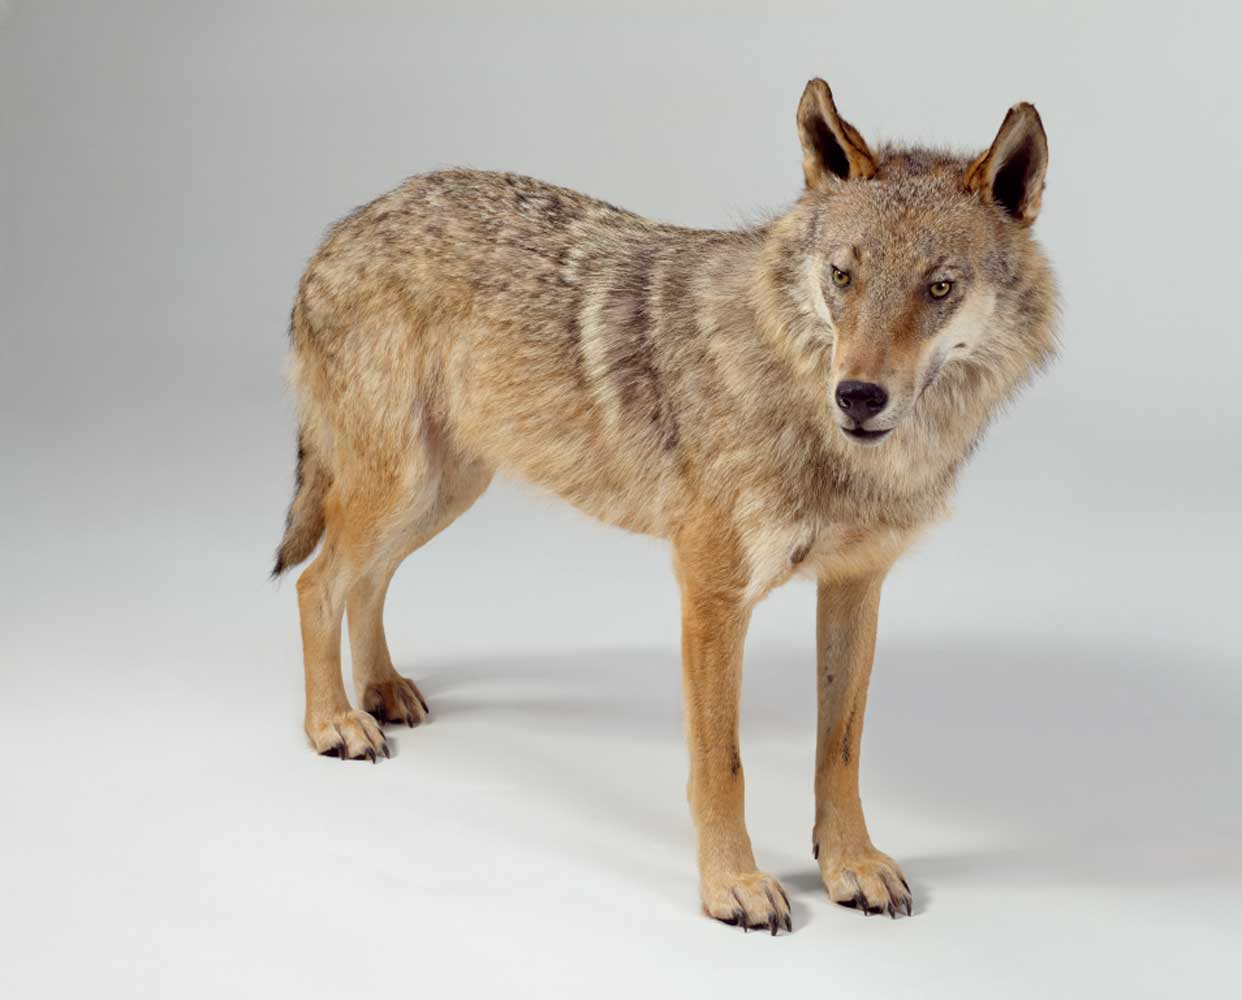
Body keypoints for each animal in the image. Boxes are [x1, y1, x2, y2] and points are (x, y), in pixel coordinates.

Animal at [272, 78, 1056, 933]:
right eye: (843, 277)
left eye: (938, 287)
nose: (858, 395)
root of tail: (347, 225)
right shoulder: (711, 592)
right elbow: (724, 765)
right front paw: (733, 886)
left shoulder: (855, 586)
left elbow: (839, 752)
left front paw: (850, 866)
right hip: (403, 487)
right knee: (317, 583)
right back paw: (333, 723)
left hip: (440, 493)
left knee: (365, 581)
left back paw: (381, 693)